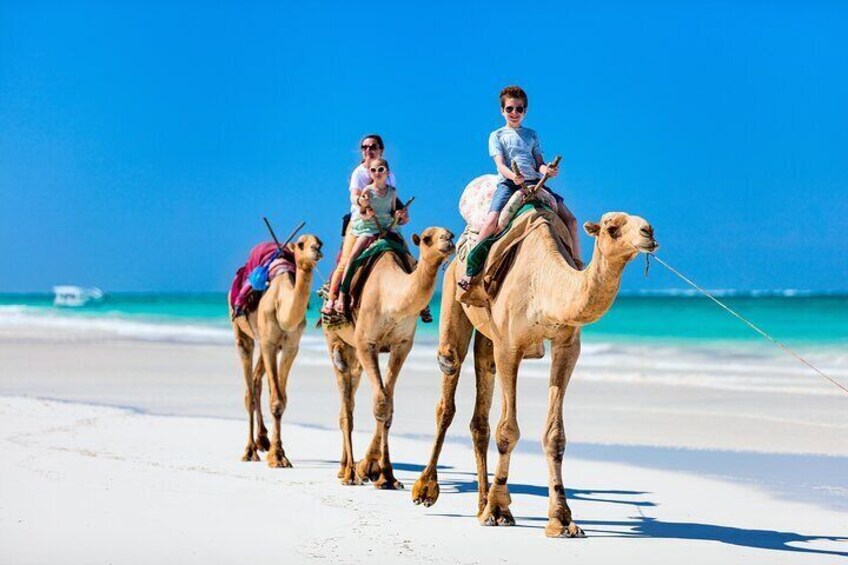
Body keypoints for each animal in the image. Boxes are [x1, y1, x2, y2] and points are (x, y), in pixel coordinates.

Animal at [230, 235, 322, 468]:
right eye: (301, 244)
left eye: (320, 242)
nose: (316, 249)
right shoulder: (269, 344)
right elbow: (277, 400)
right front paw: (277, 457)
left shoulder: (290, 347)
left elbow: (281, 398)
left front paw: (277, 452)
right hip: (243, 336)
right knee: (249, 391)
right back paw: (249, 450)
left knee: (257, 381)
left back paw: (263, 440)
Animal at [324, 227, 458, 486]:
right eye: (427, 238)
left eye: (450, 233)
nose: (448, 241)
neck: (389, 297)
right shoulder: (366, 343)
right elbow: (381, 402)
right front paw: (369, 470)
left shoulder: (401, 345)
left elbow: (389, 405)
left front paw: (384, 474)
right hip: (336, 342)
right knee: (345, 407)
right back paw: (349, 474)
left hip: (355, 356)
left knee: (351, 397)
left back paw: (344, 468)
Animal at [414, 209, 660, 536]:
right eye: (612, 227)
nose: (648, 232)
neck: (543, 285)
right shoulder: (509, 346)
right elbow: (507, 430)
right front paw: (499, 510)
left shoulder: (567, 346)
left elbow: (555, 435)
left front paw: (562, 519)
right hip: (455, 294)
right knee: (448, 380)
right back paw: (427, 490)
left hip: (488, 337)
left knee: (481, 407)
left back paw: (480, 504)